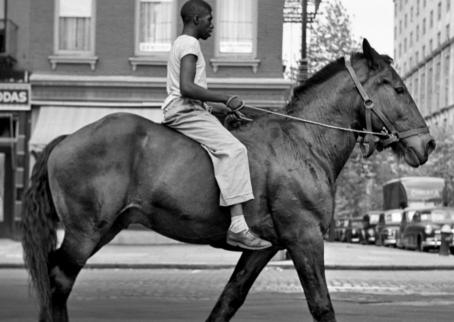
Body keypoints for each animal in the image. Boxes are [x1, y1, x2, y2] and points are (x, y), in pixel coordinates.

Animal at [22, 41, 436, 322]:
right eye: (397, 87)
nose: (427, 143)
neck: (303, 140)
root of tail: (66, 138)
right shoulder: (304, 237)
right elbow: (321, 305)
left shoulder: (264, 247)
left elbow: (229, 299)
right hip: (86, 231)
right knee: (57, 279)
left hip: (105, 227)